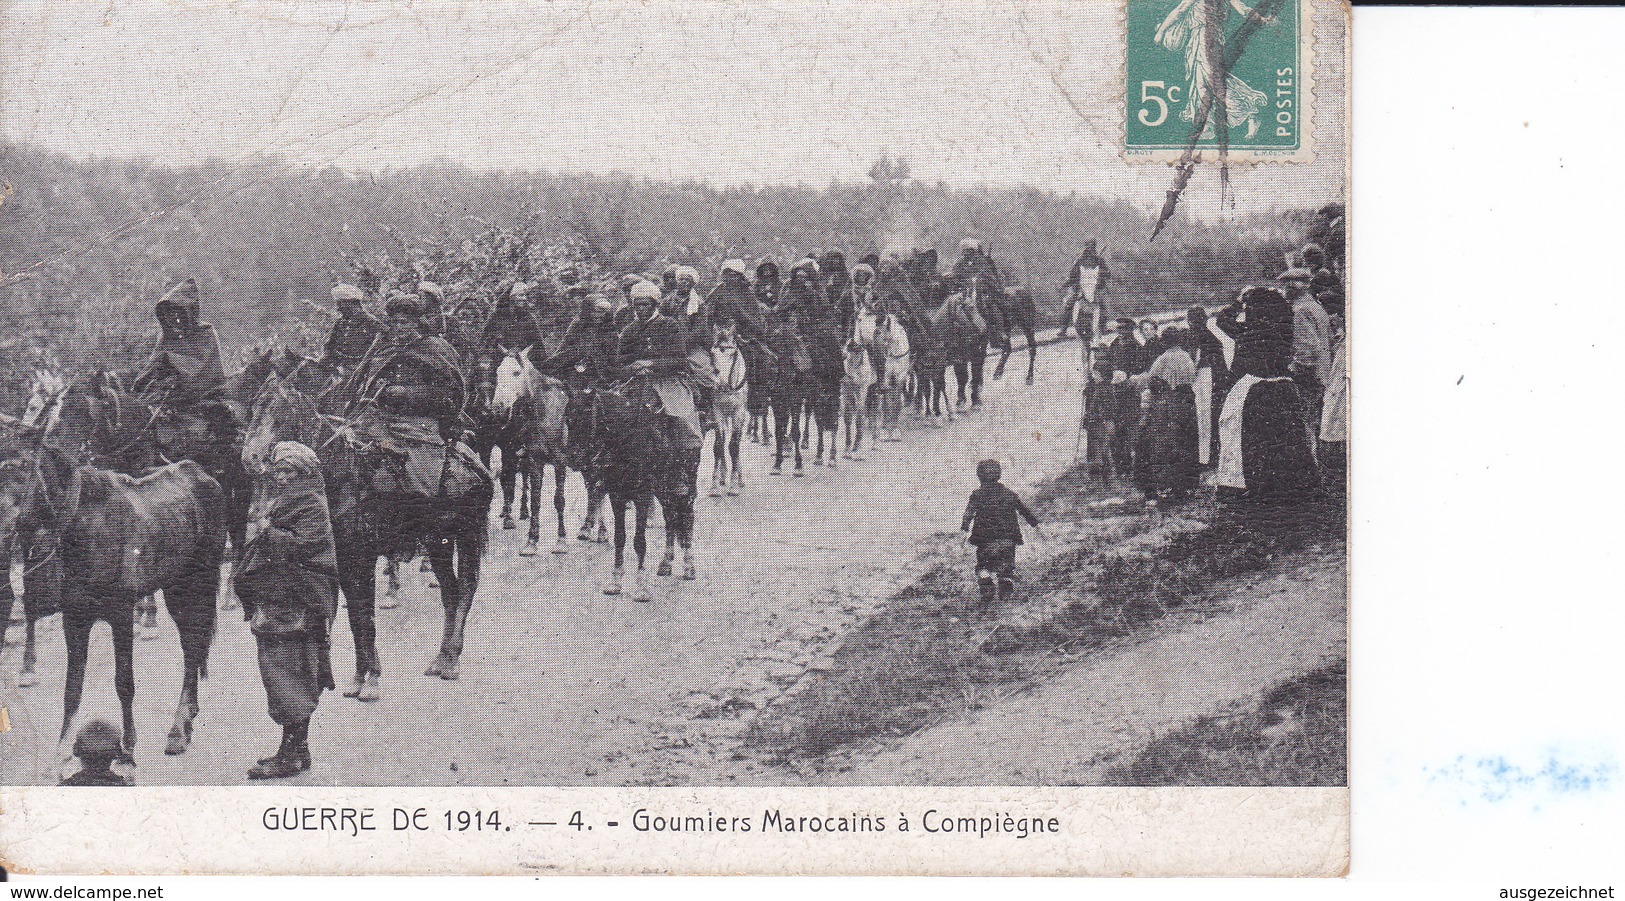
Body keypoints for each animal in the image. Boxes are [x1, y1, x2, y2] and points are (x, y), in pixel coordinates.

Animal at [0, 409, 224, 761]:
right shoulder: (75, 617)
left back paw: (178, 731)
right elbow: (72, 687)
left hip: (191, 587)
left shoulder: (120, 613)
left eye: (23, 465)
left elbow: (124, 682)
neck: (85, 525)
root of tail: (205, 476)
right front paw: (63, 748)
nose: (3, 525)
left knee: (192, 647)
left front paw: (128, 745)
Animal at [243, 369, 490, 686]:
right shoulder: (343, 560)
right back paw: (441, 658)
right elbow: (355, 618)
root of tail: (475, 461)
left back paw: (451, 662)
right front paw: (360, 676)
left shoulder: (363, 556)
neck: (341, 472)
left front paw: (371, 680)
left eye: (275, 410)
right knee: (451, 592)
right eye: (253, 408)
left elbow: (366, 616)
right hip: (439, 542)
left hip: (467, 534)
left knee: (467, 587)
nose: (249, 459)